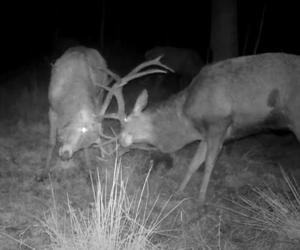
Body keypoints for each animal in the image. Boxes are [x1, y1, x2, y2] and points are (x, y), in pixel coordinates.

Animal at [117, 52, 300, 203]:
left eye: (126, 121)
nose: (120, 141)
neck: (187, 121)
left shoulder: (218, 125)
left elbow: (209, 164)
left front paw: (201, 198)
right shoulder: (205, 134)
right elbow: (194, 163)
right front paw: (179, 191)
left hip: (296, 119)